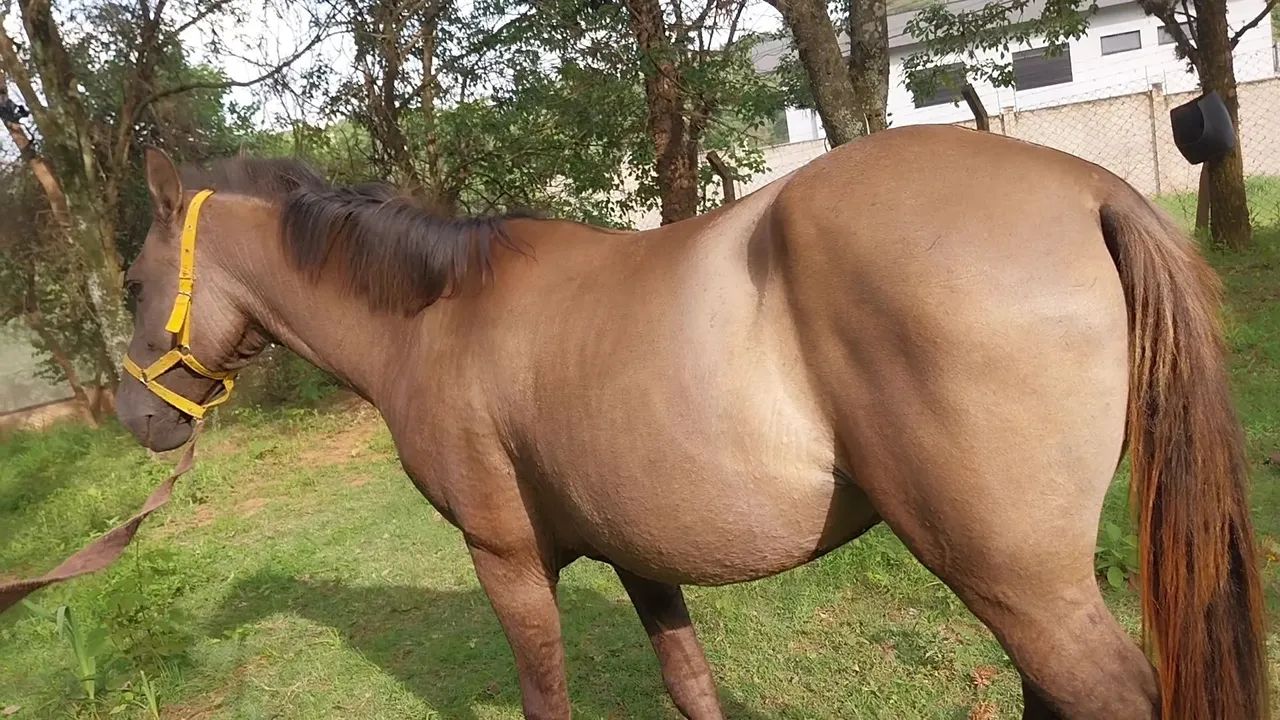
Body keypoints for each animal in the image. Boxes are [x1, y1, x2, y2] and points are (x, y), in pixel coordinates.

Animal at [116, 125, 1267, 719]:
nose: (137, 418)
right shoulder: (640, 552)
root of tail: (1087, 190)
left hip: (1016, 580)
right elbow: (688, 684)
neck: (440, 319)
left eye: (130, 283)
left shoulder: (506, 562)